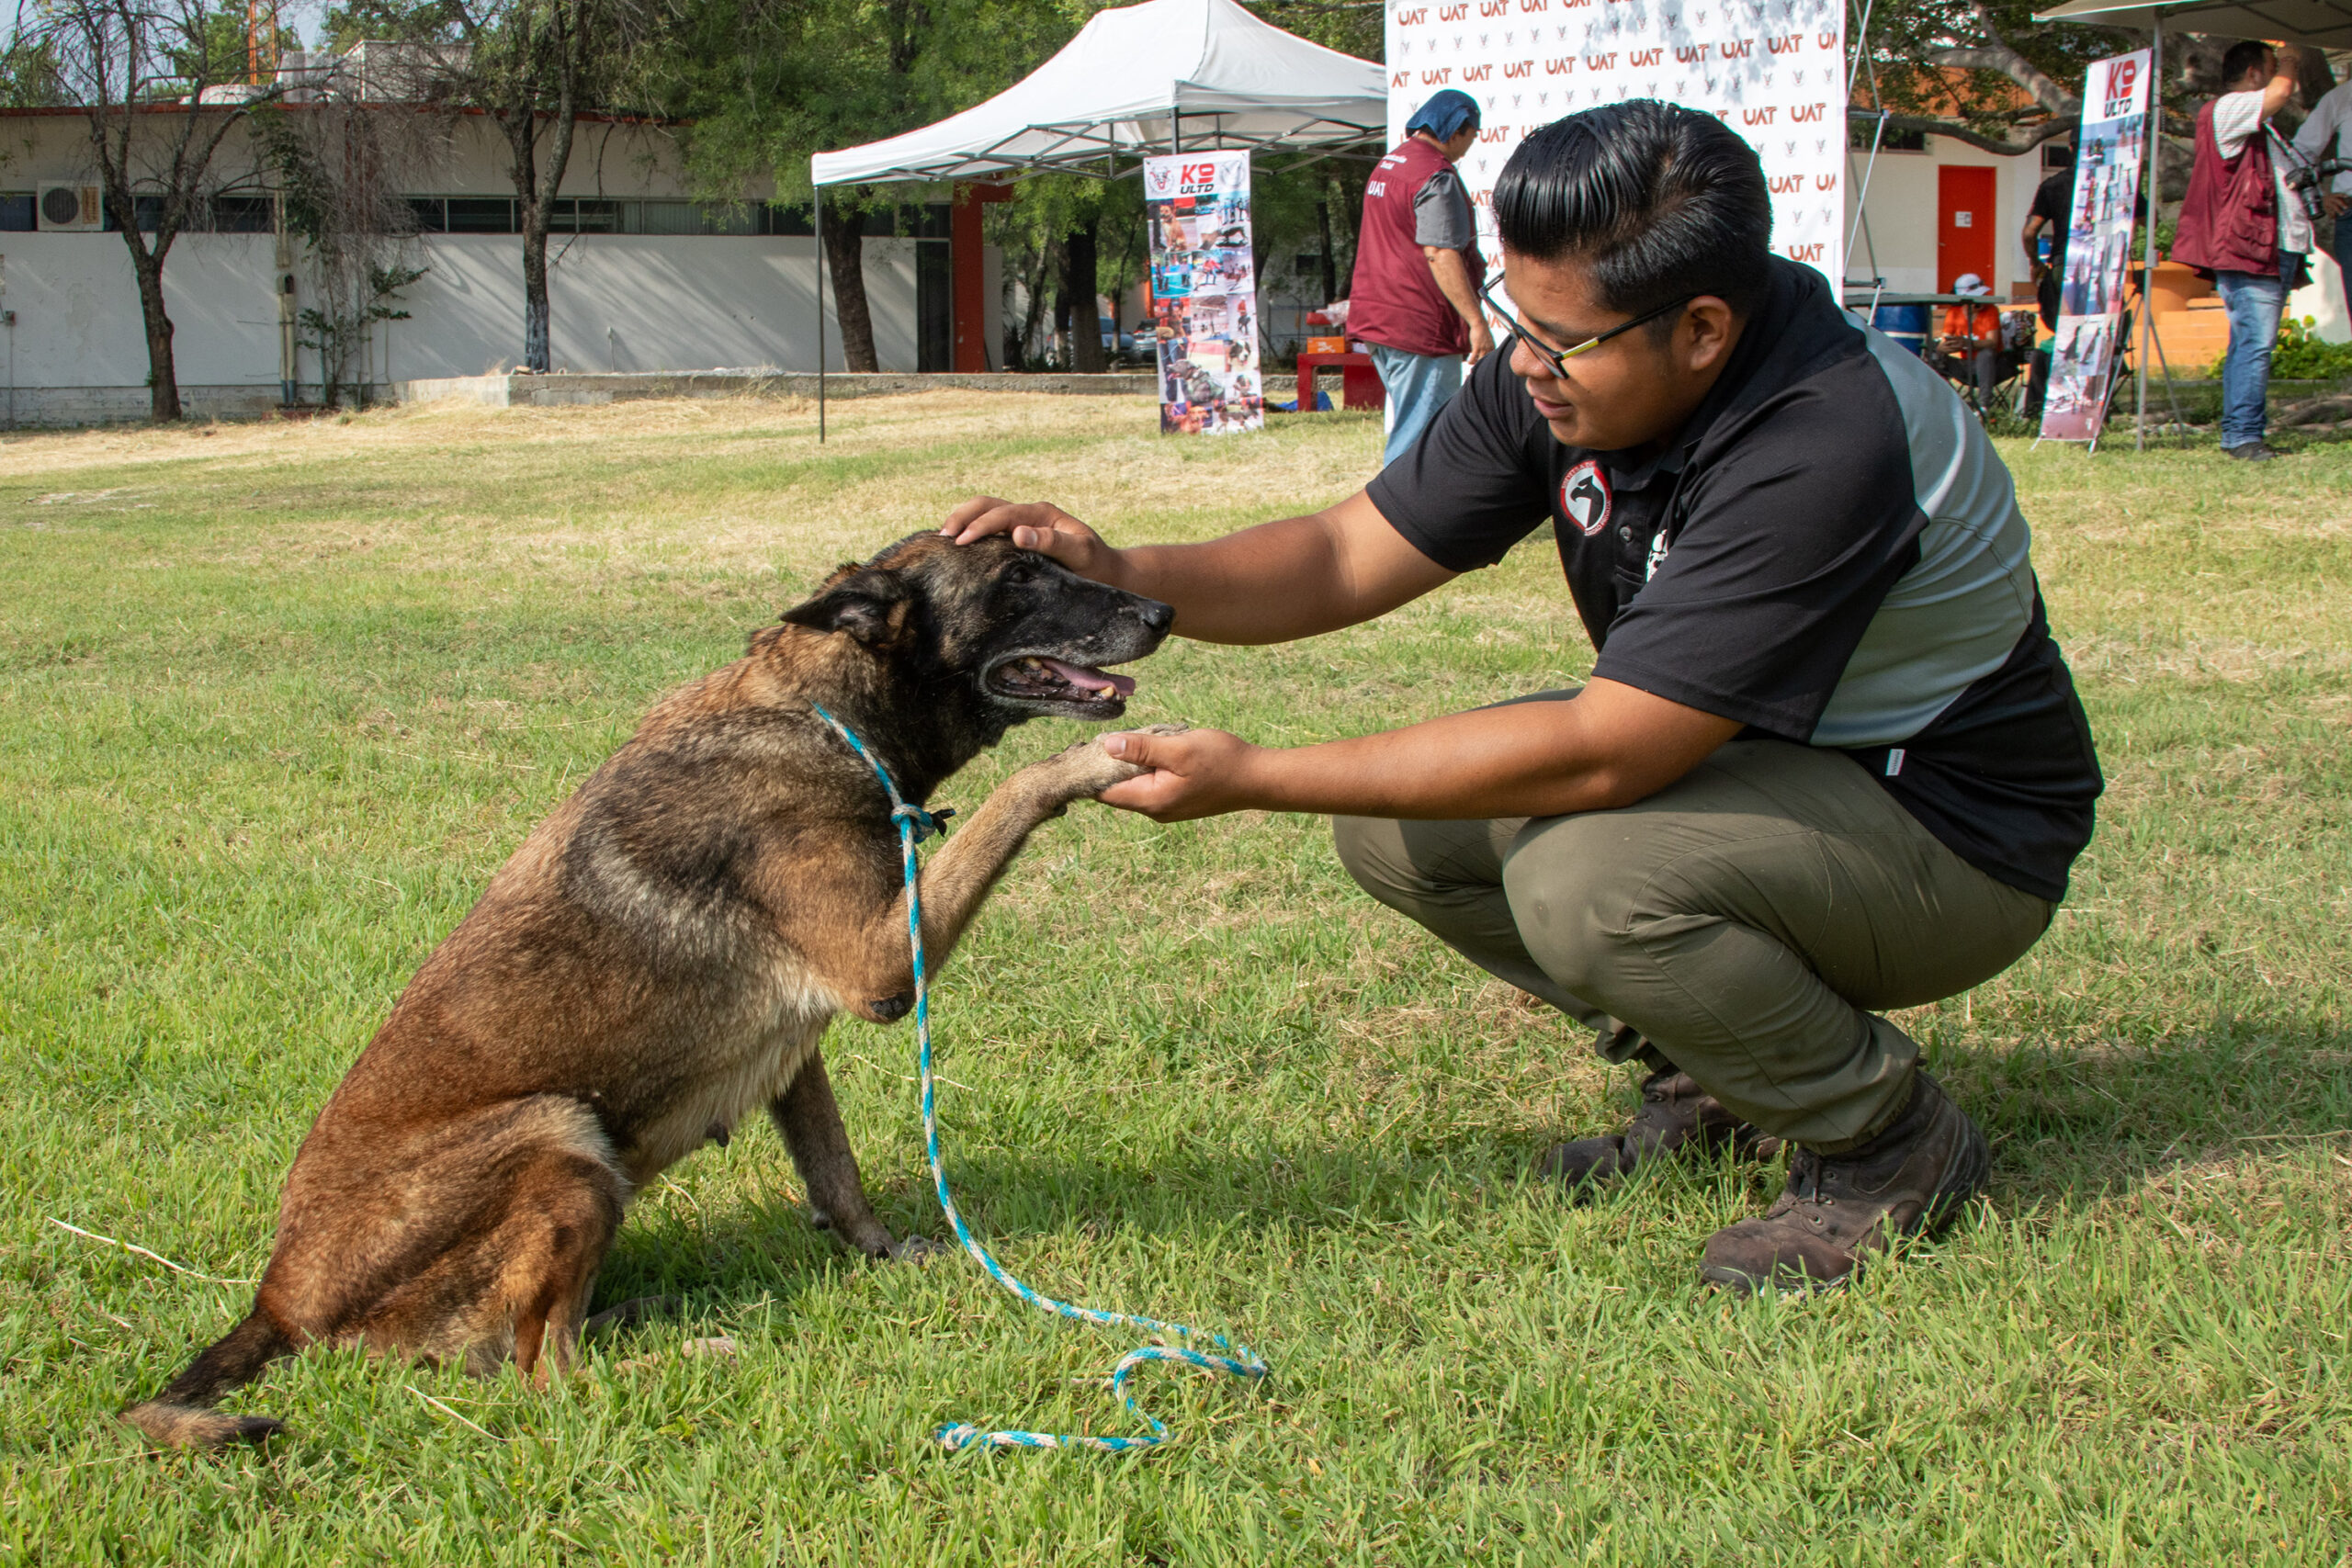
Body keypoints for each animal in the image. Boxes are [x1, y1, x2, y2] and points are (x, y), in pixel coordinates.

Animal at [119, 531, 1176, 1448]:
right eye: (1021, 576)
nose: (1164, 609)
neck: (821, 716)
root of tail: (277, 1302)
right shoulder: (882, 965)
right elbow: (1009, 800)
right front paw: (1088, 764)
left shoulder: (798, 1047)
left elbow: (835, 1170)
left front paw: (883, 1254)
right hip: (560, 1135)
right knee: (544, 1372)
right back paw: (689, 1350)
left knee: (539, 1341)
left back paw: (646, 1308)